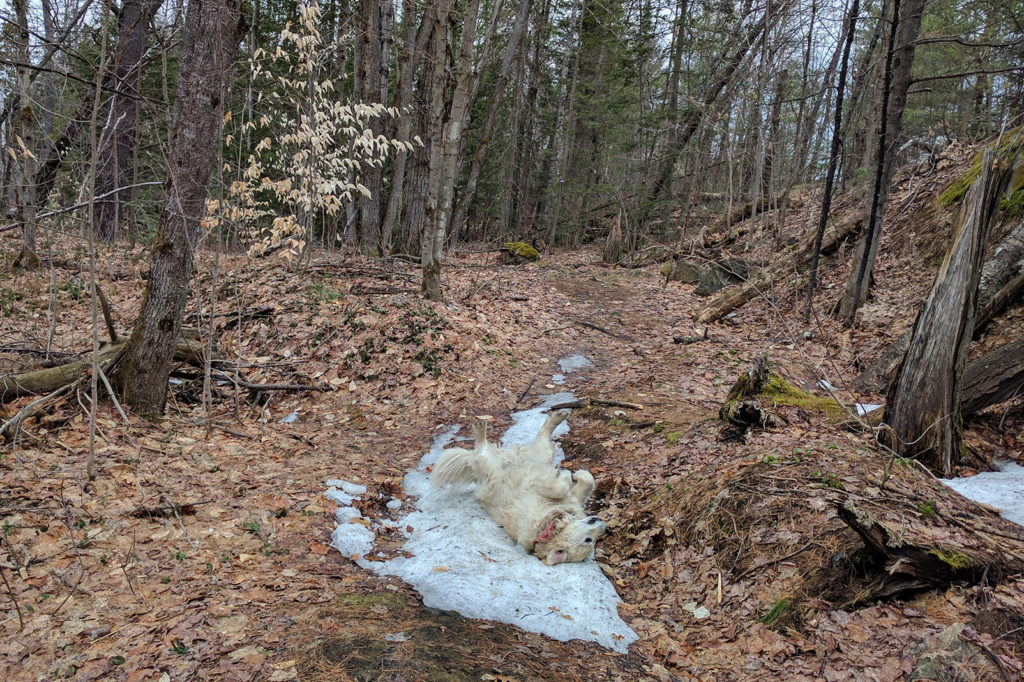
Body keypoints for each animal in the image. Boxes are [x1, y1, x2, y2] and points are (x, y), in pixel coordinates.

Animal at [428, 409, 602, 561]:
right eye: (588, 540)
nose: (603, 524)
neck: (548, 523)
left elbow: (576, 484)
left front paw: (568, 476)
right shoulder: (558, 495)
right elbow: (574, 484)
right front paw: (569, 475)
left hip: (488, 470)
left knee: (481, 451)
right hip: (535, 457)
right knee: (541, 434)